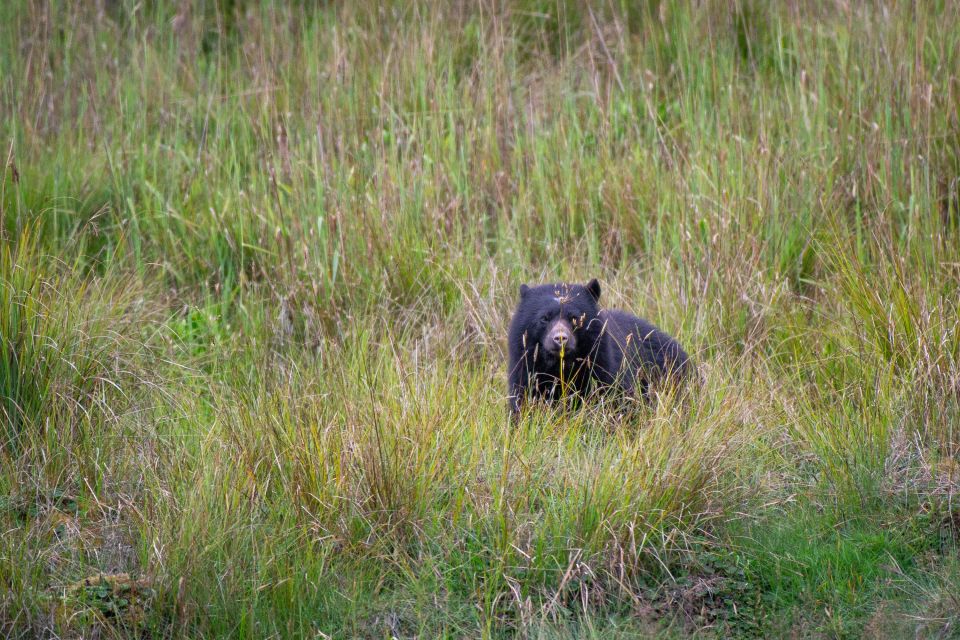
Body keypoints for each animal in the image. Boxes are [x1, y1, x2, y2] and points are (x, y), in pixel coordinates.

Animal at [506, 280, 688, 416]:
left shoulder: (604, 366)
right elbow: (524, 402)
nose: (560, 339)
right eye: (544, 318)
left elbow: (615, 401)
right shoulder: (526, 370)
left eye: (574, 318)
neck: (562, 366)